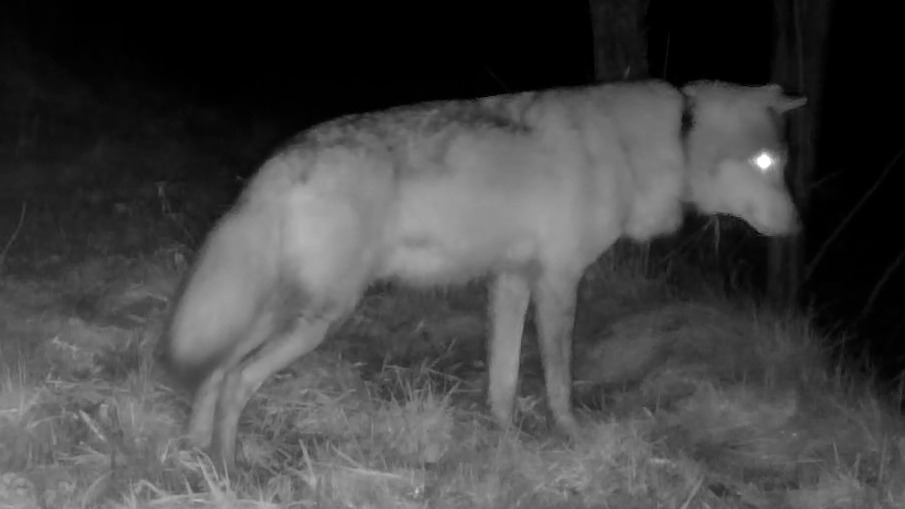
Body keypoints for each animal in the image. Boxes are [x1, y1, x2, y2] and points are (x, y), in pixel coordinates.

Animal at [164, 79, 806, 473]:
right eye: (765, 163)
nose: (800, 227)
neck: (667, 139)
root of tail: (281, 157)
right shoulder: (558, 281)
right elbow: (558, 383)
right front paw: (570, 438)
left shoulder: (512, 280)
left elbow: (503, 380)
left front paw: (506, 439)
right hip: (318, 317)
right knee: (237, 379)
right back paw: (230, 469)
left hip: (283, 311)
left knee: (215, 370)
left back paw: (195, 454)